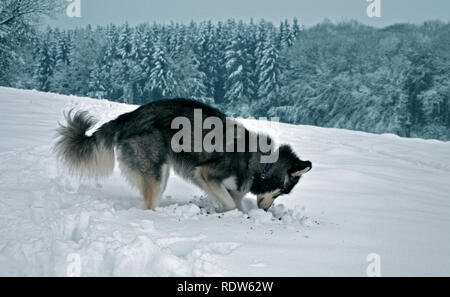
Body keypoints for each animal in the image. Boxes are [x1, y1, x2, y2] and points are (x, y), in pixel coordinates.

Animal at [54, 98, 312, 212]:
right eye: (281, 191)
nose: (266, 209)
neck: (260, 164)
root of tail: (130, 116)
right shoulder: (206, 174)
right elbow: (229, 204)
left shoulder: (230, 187)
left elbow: (235, 204)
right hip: (156, 173)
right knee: (150, 202)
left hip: (163, 171)